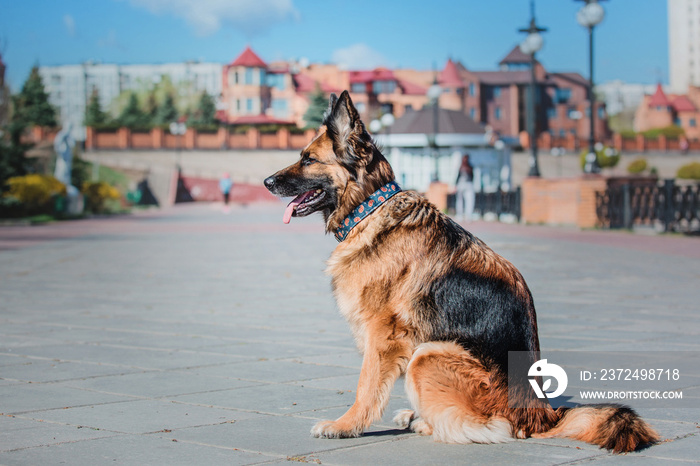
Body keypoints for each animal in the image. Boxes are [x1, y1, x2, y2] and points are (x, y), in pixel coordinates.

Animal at [266, 90, 660, 452]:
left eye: (308, 159)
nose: (267, 182)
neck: (370, 208)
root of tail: (541, 416)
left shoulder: (381, 334)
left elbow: (366, 386)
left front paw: (346, 425)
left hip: (429, 354)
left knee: (491, 427)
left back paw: (427, 422)